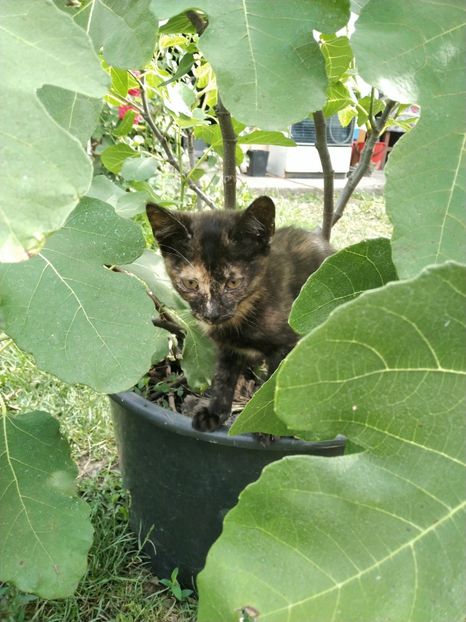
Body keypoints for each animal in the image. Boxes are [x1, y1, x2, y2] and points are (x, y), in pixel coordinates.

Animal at [146, 200, 332, 434]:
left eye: (233, 283)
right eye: (191, 284)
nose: (212, 314)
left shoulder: (287, 346)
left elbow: (273, 390)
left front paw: (267, 427)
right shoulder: (228, 348)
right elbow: (223, 378)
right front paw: (215, 413)